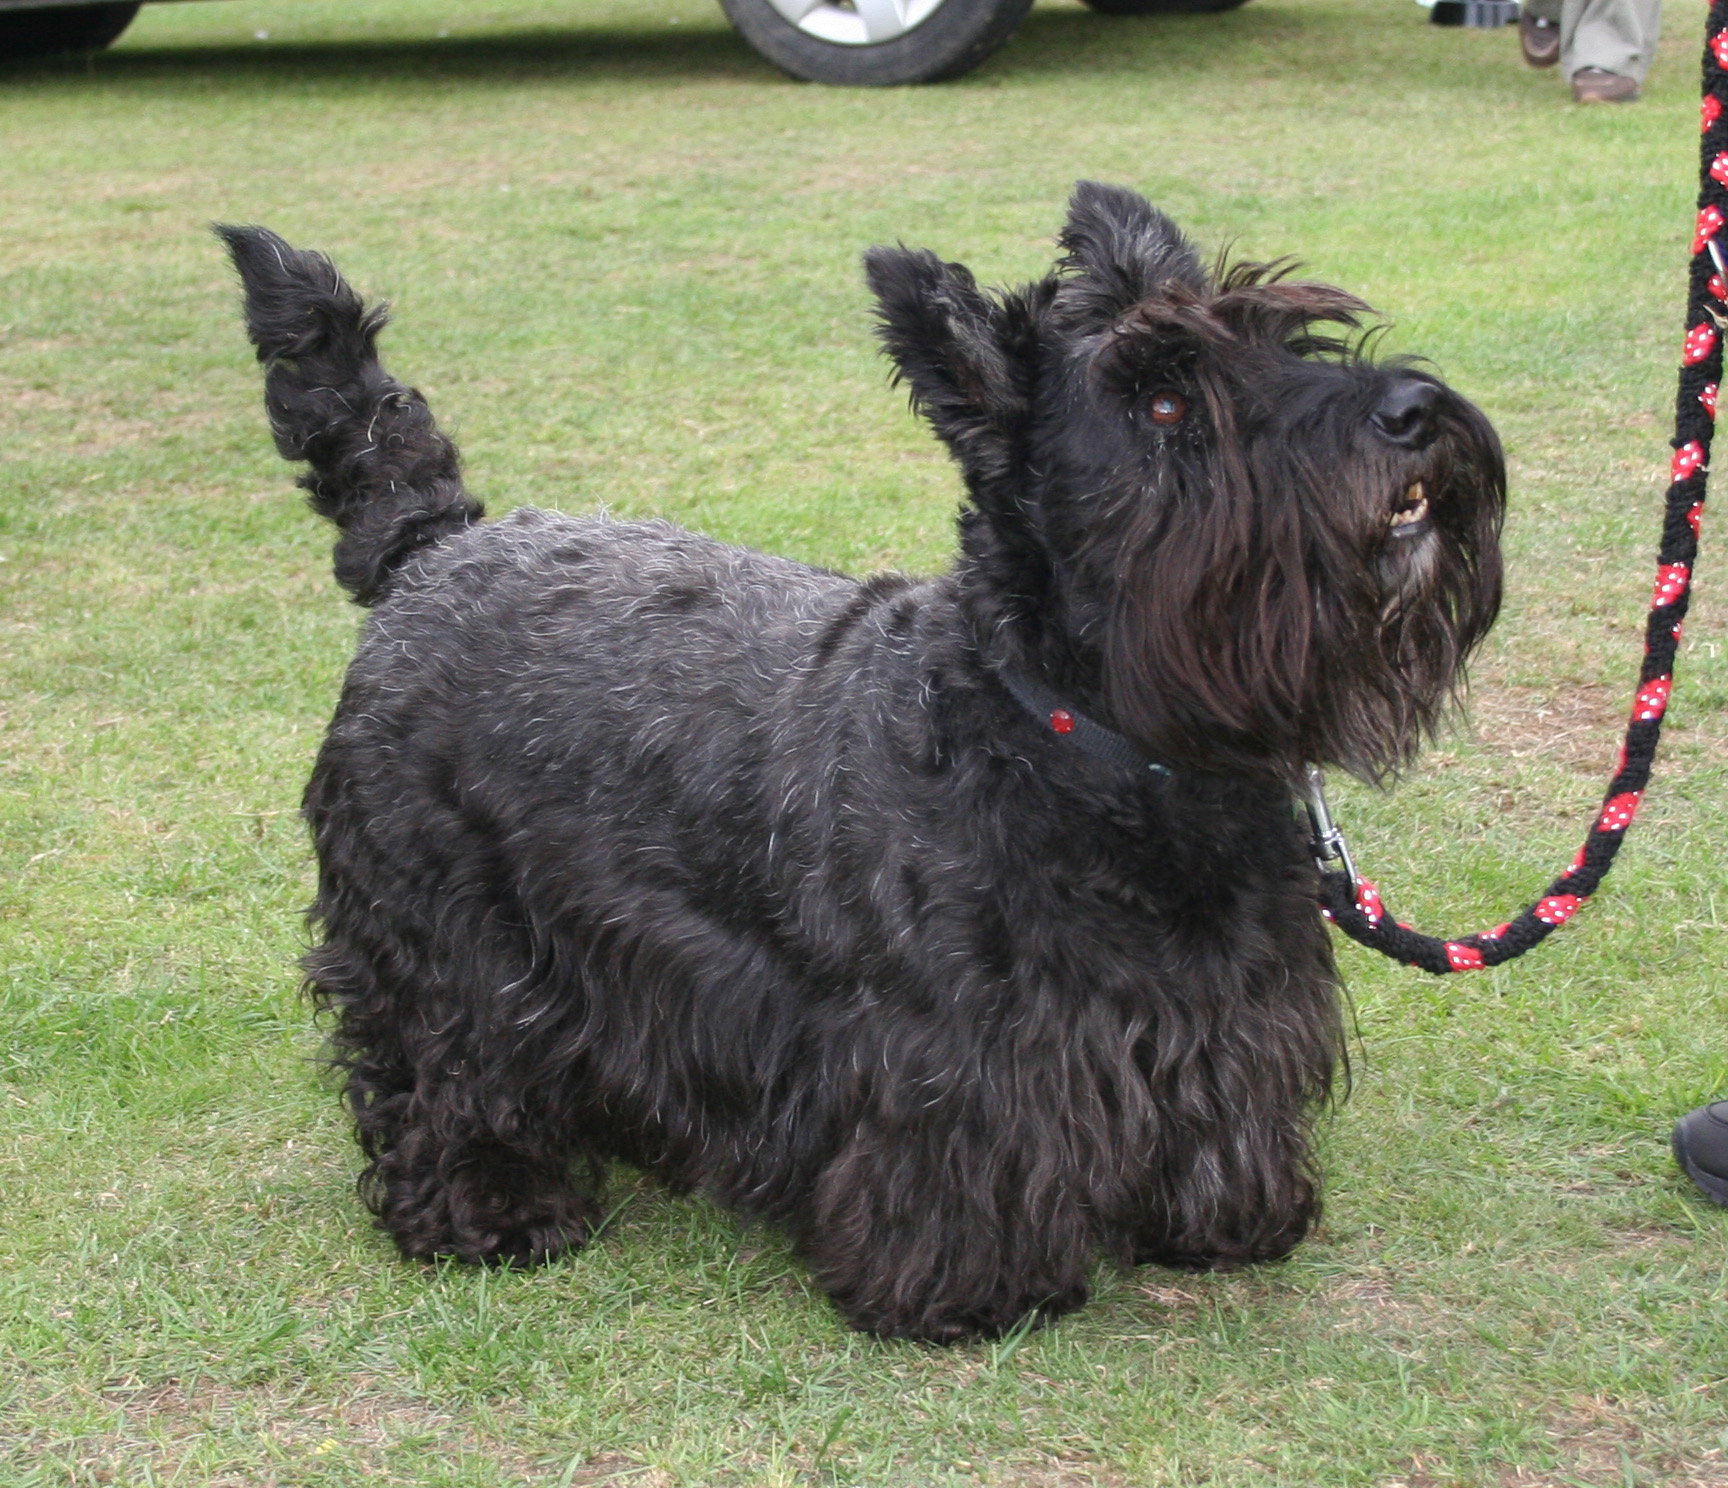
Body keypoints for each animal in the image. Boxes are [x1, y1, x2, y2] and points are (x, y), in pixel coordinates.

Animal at [216, 183, 1506, 1334]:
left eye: (1296, 337)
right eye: (1163, 404)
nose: (1413, 408)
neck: (1091, 750)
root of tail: (435, 544)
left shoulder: (1228, 1018)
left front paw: (1224, 1216)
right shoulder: (953, 1061)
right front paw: (971, 1290)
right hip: (436, 928)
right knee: (439, 1066)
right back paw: (491, 1209)